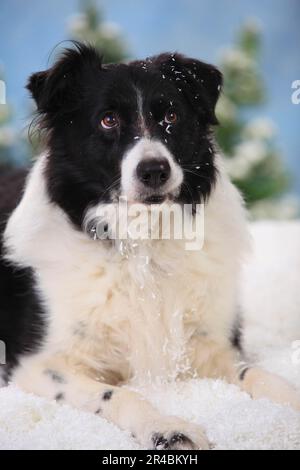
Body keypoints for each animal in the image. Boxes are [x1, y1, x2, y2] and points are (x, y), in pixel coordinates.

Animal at [0, 45, 300, 452]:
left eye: (171, 116)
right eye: (108, 120)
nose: (155, 170)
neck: (143, 240)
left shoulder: (210, 344)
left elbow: (258, 375)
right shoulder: (37, 365)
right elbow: (120, 394)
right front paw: (166, 426)